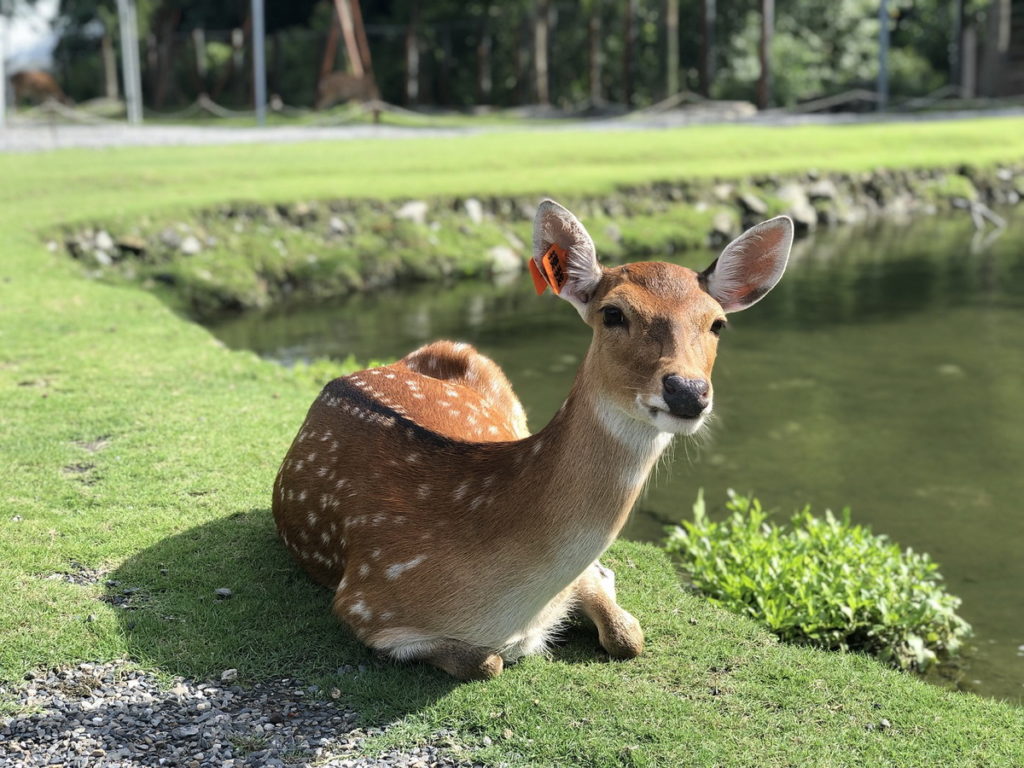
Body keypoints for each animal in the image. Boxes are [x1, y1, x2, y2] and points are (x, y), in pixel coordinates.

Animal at [272, 200, 793, 680]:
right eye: (613, 313)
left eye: (717, 323)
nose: (687, 390)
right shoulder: (365, 605)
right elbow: (488, 663)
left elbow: (629, 635)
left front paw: (604, 581)